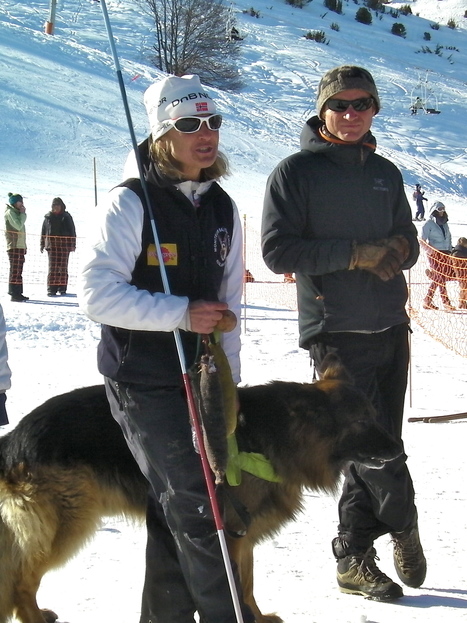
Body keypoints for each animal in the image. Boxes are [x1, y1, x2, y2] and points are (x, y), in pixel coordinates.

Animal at [0, 358, 402, 620]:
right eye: (362, 421)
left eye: (374, 414)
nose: (400, 450)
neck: (278, 434)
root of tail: (14, 438)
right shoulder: (229, 534)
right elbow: (236, 586)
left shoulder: (242, 533)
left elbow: (248, 585)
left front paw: (258, 617)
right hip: (68, 526)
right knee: (21, 582)